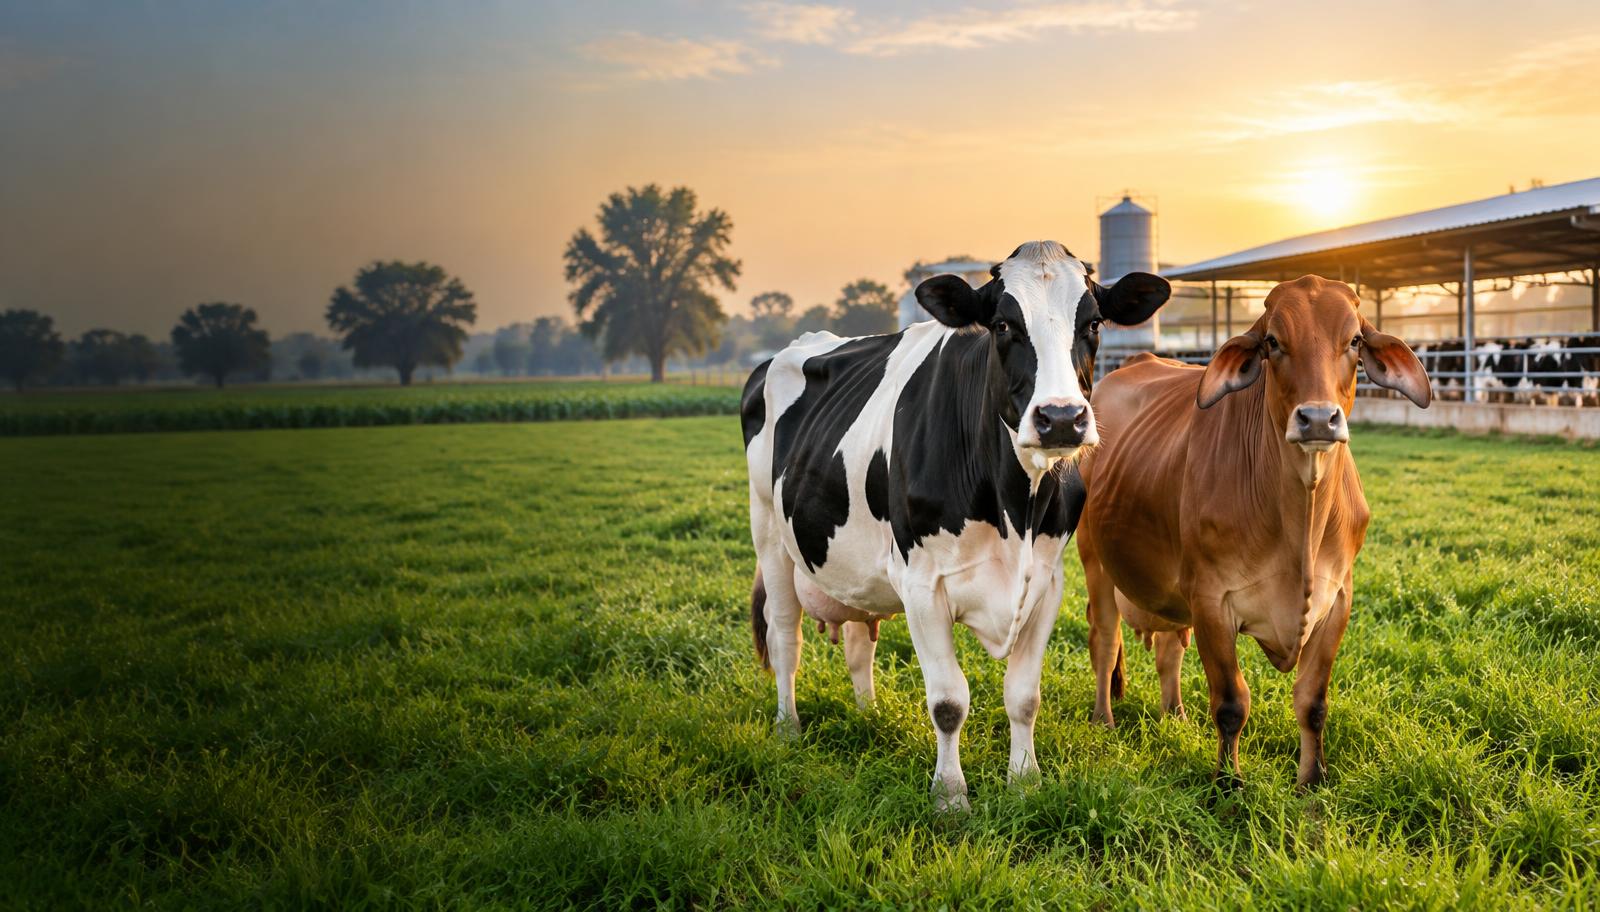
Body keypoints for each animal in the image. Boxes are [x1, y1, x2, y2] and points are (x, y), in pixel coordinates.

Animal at [741, 241, 1170, 809]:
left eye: (1094, 322)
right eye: (1004, 324)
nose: (1061, 417)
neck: (1014, 506)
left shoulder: (1048, 581)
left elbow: (1024, 696)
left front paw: (1025, 783)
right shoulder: (922, 584)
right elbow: (948, 701)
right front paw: (950, 797)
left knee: (858, 640)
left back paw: (867, 715)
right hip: (769, 534)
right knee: (785, 636)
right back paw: (788, 728)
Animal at [1073, 275, 1430, 788]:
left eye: (1355, 341)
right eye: (1273, 342)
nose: (1317, 418)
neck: (1301, 518)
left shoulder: (1338, 599)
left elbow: (1312, 701)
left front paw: (1312, 779)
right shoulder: (1211, 601)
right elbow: (1231, 703)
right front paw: (1228, 782)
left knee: (1168, 648)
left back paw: (1174, 715)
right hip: (1093, 558)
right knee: (1104, 640)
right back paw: (1104, 719)